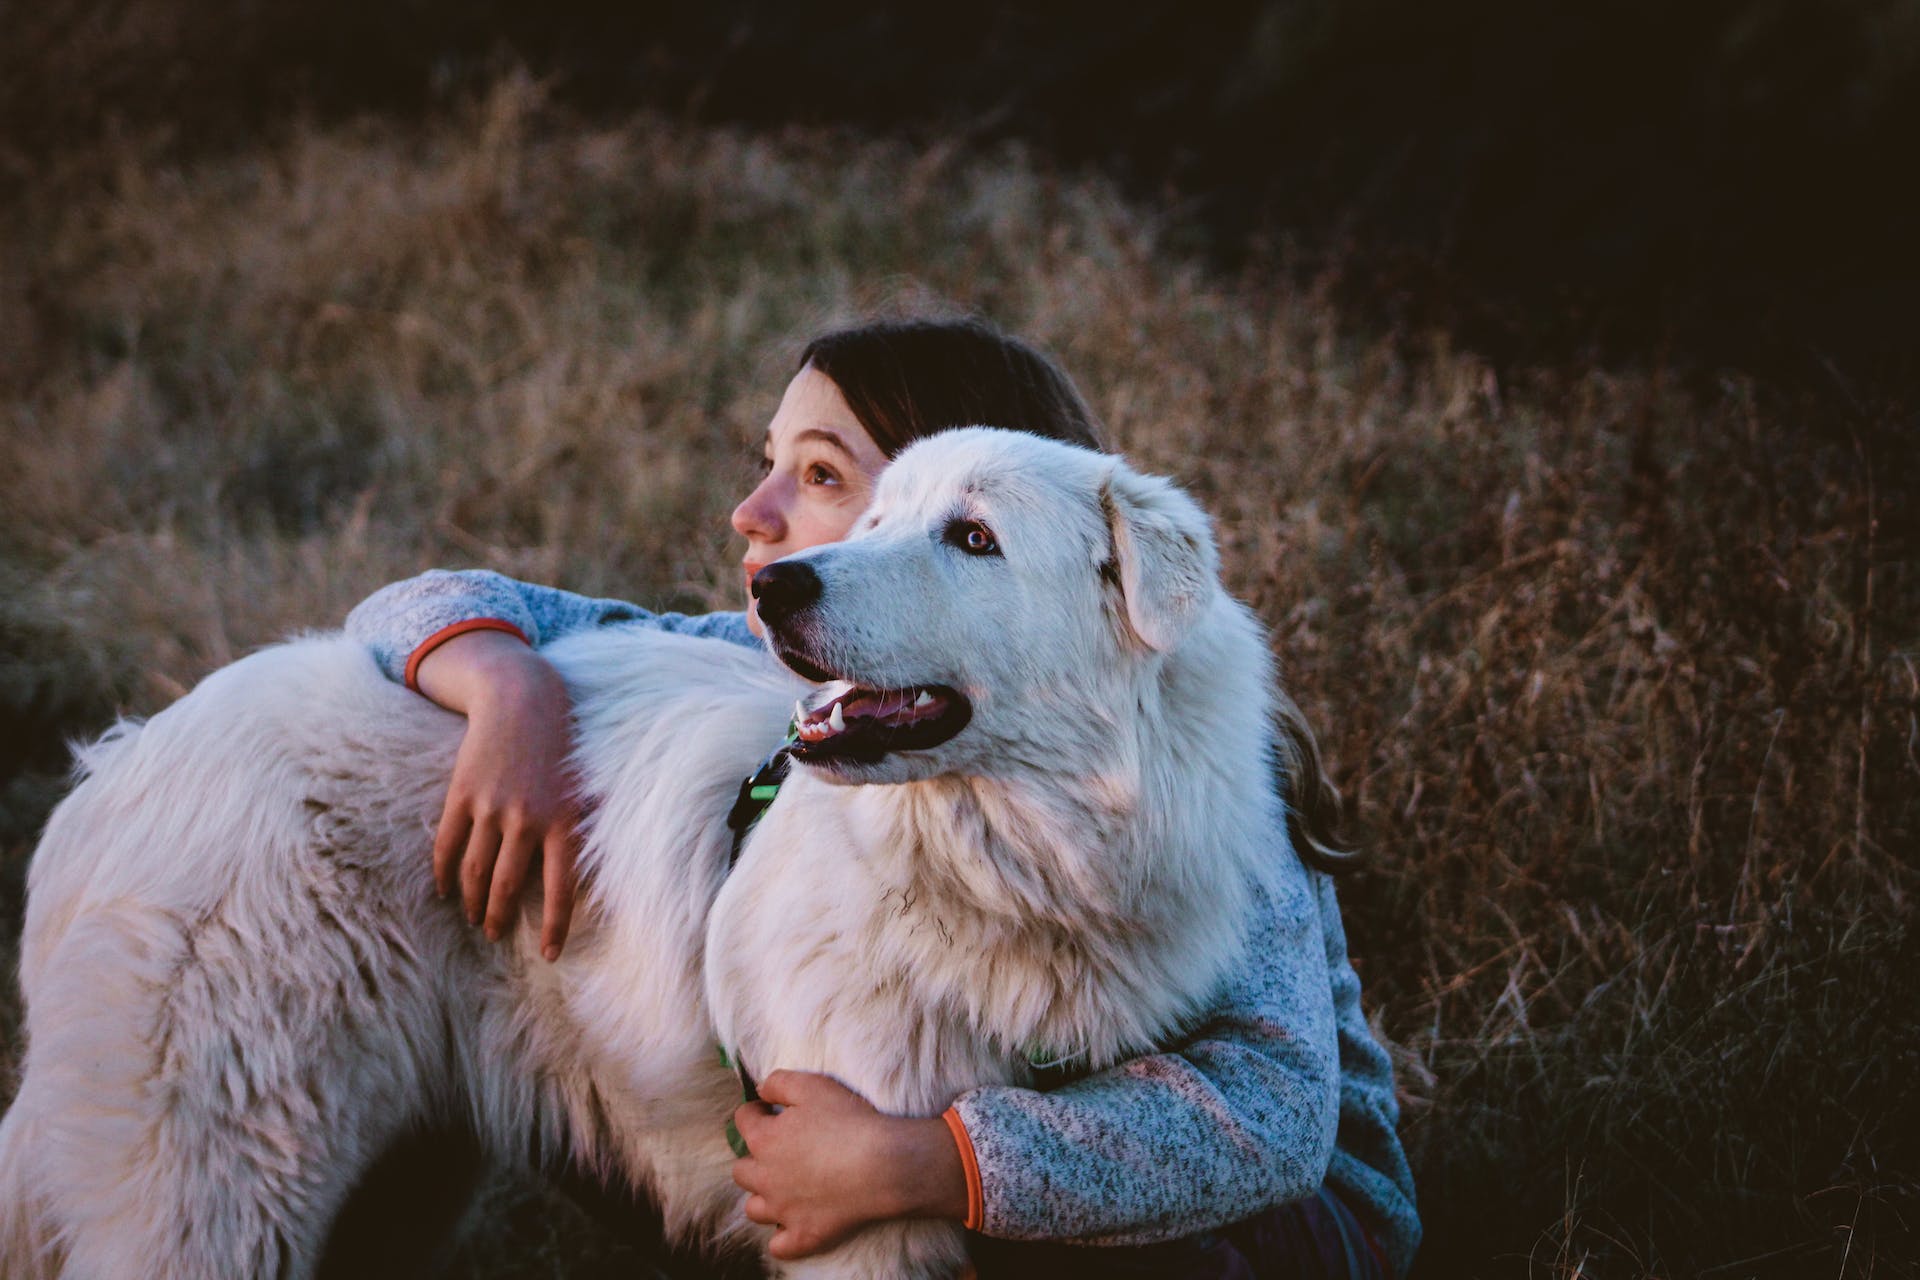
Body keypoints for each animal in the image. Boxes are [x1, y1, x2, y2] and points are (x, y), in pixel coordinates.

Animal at [3, 433, 1290, 1280]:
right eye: (874, 521)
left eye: (974, 537)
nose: (773, 583)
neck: (1003, 866)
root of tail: (115, 766)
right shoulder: (859, 1214)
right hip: (224, 1190)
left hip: (395, 1168)